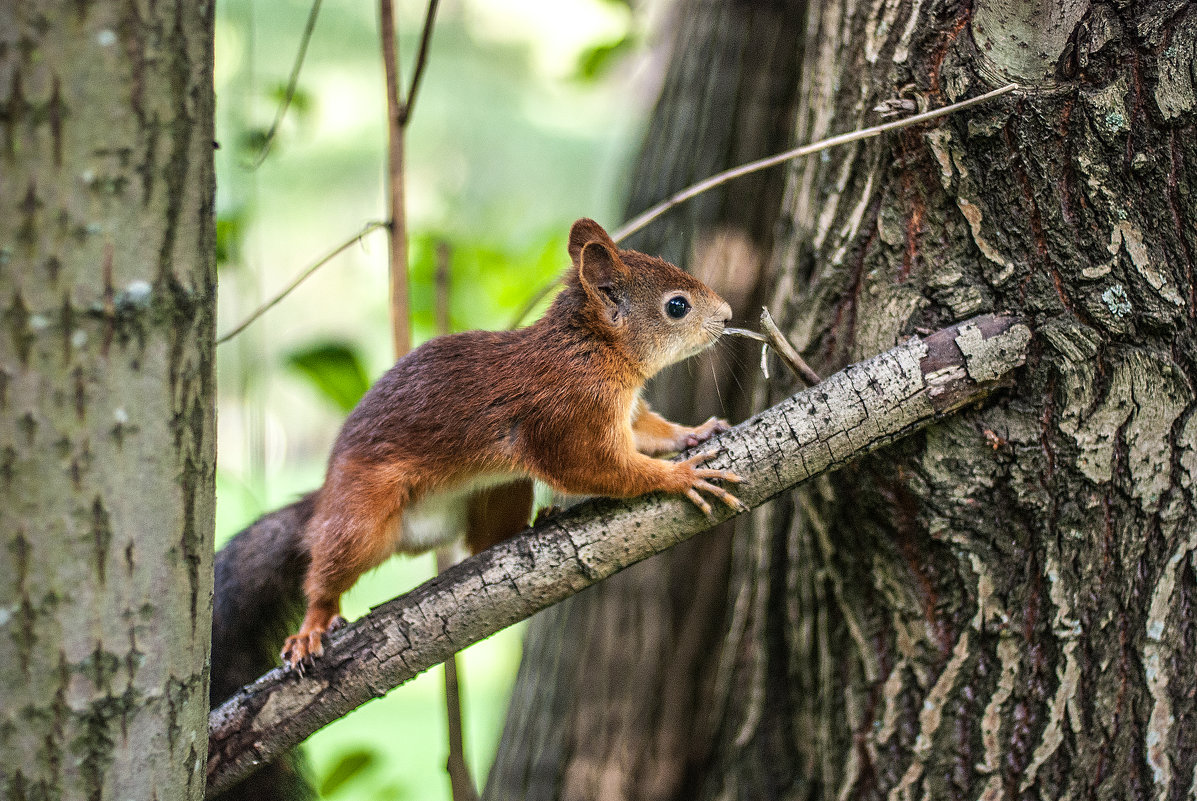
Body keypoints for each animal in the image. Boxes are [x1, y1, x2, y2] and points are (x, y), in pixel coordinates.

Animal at [281, 216, 746, 660]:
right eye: (677, 306)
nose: (727, 315)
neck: (591, 349)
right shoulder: (569, 413)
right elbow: (593, 466)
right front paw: (681, 477)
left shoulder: (620, 414)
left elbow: (648, 433)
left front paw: (694, 433)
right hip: (360, 512)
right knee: (330, 566)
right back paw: (313, 625)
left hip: (501, 488)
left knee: (482, 543)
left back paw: (538, 520)